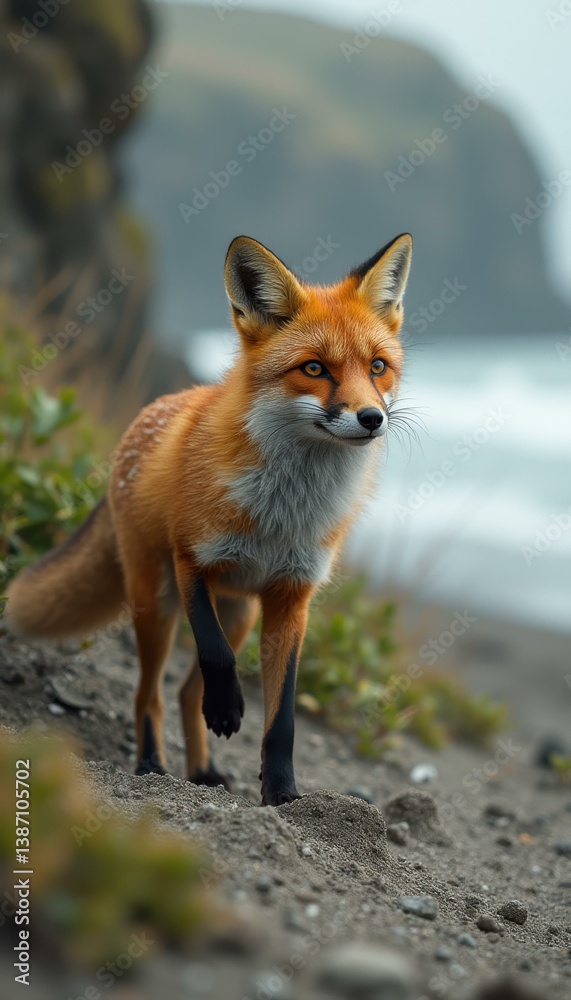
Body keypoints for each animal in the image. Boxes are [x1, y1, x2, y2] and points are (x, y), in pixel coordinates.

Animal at [5, 232, 413, 805]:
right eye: (314, 368)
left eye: (377, 367)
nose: (372, 418)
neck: (282, 513)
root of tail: (139, 424)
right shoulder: (192, 561)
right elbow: (216, 658)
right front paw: (226, 710)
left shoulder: (292, 598)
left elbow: (282, 718)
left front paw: (282, 793)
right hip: (155, 605)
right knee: (150, 694)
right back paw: (152, 763)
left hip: (240, 615)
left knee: (181, 692)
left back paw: (201, 771)